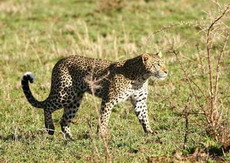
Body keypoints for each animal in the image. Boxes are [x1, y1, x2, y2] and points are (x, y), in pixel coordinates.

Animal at [21, 52, 167, 139]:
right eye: (157, 64)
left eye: (163, 63)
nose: (166, 71)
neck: (140, 77)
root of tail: (59, 61)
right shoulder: (109, 99)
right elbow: (104, 118)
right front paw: (102, 134)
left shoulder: (139, 101)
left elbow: (144, 117)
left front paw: (150, 131)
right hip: (65, 94)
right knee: (47, 106)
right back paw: (50, 128)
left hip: (75, 100)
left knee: (64, 120)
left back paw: (70, 139)